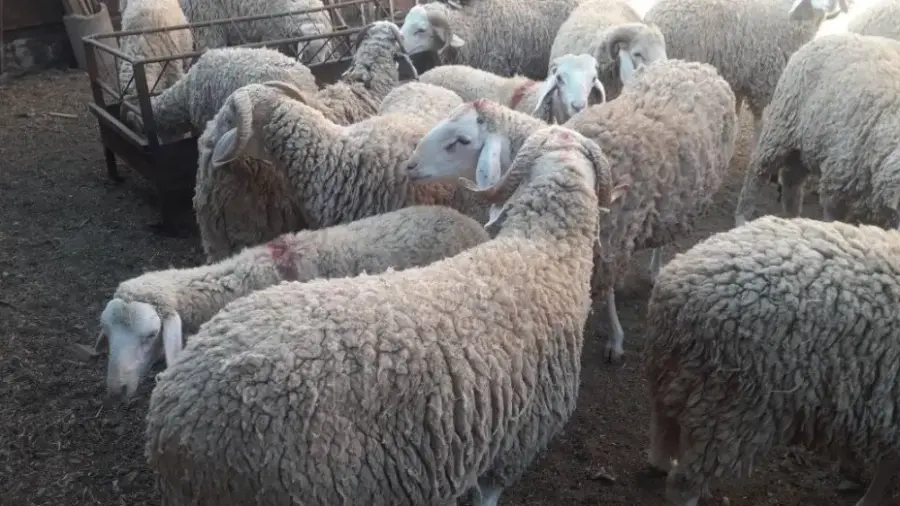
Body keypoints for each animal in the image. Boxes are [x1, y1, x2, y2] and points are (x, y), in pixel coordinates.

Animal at [642, 215, 900, 506]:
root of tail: (672, 288)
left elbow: (889, 463)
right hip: (729, 410)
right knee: (684, 484)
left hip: (675, 382)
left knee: (661, 437)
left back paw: (663, 463)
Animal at [643, 0, 849, 171]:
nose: (828, 7)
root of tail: (651, 16)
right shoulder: (762, 80)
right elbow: (759, 120)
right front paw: (756, 150)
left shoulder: (739, 76)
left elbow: (737, 106)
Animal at [734, 33, 900, 229]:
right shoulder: (837, 180)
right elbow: (832, 216)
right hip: (782, 126)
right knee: (758, 169)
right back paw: (742, 216)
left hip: (801, 143)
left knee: (791, 180)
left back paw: (792, 218)